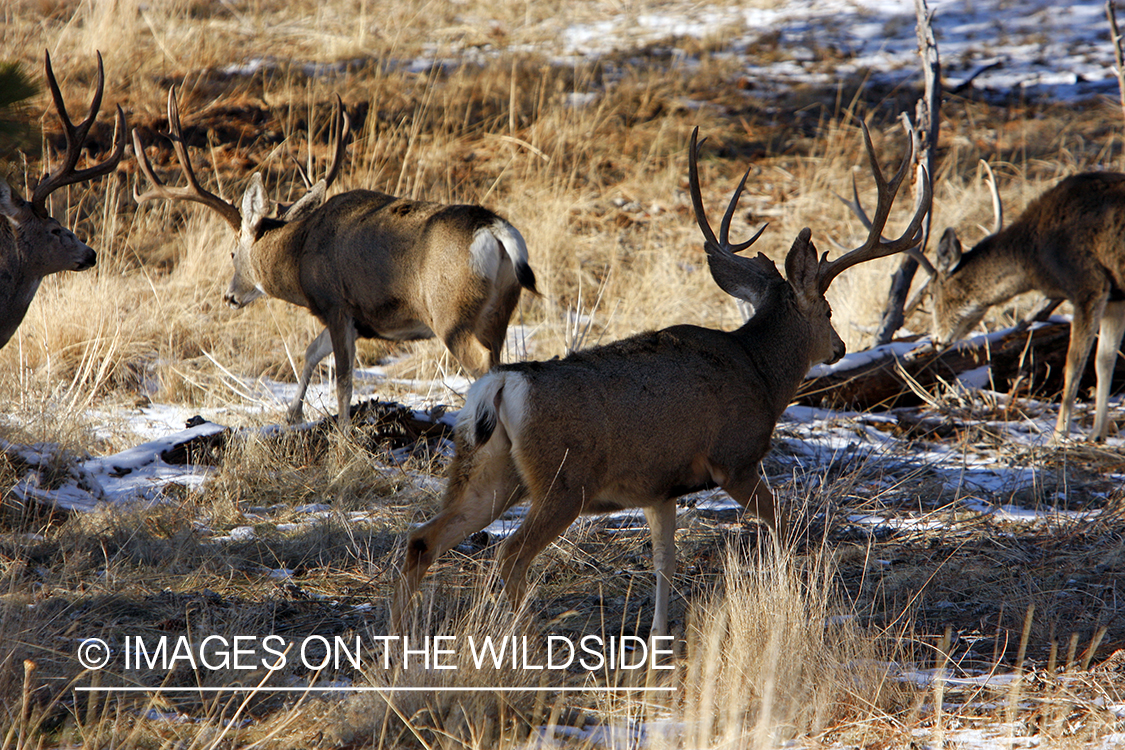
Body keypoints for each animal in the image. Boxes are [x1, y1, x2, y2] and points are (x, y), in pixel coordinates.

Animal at [133, 89, 537, 429]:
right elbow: (312, 351)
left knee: (482, 365)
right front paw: (293, 414)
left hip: (451, 313)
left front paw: (343, 435)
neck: (299, 256)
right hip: (500, 309)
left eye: (232, 252)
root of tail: (494, 228)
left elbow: (343, 380)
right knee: (501, 362)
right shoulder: (354, 318)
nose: (229, 296)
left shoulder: (336, 304)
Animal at [391, 125, 930, 638]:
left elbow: (664, 561)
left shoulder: (660, 487)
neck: (760, 372)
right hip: (563, 478)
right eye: (829, 311)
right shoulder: (734, 458)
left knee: (422, 539)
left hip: (489, 468)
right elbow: (782, 525)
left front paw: (658, 635)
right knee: (509, 555)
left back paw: (402, 639)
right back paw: (527, 637)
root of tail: (501, 386)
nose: (839, 348)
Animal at [902, 168, 1125, 442]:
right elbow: (1104, 360)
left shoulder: (1088, 283)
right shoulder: (1115, 295)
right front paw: (1097, 434)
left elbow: (1074, 362)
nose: (936, 339)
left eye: (932, 294)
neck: (1035, 256)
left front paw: (1057, 436)